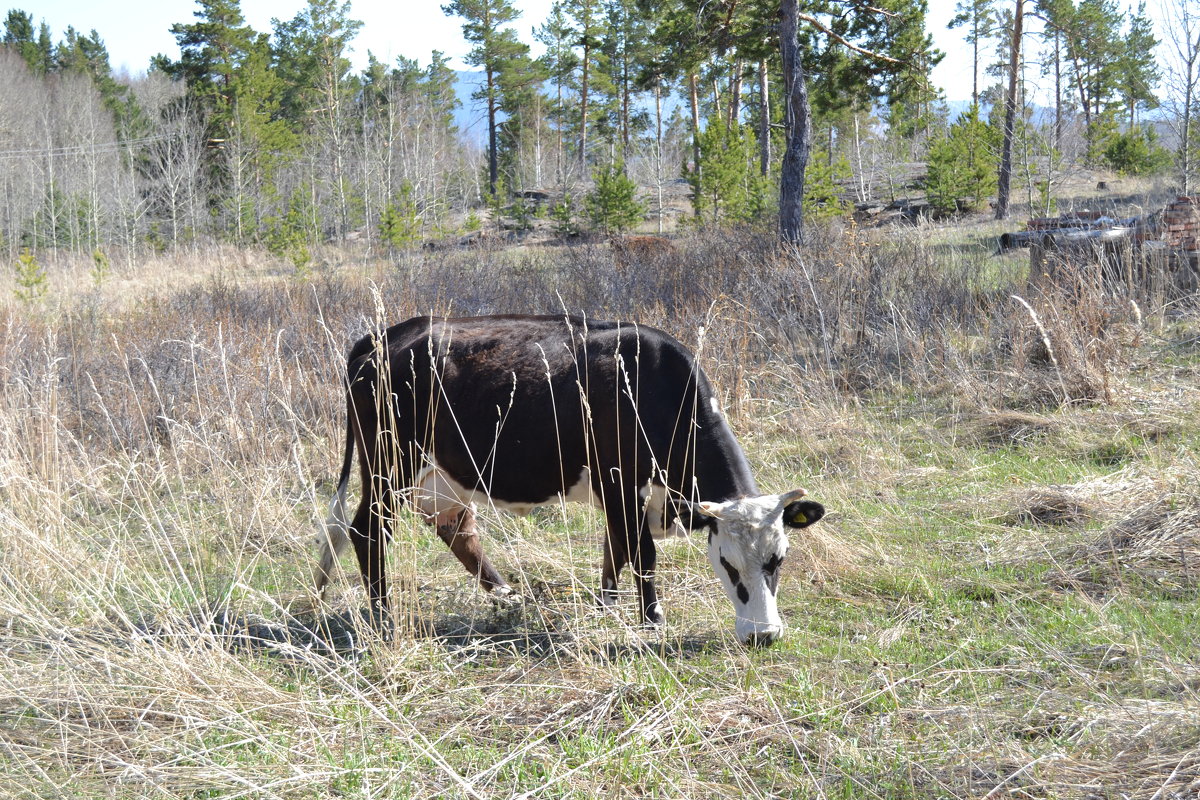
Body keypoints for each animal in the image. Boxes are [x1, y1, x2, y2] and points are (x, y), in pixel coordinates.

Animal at [312, 316, 825, 647]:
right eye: (727, 563)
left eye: (778, 559)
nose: (763, 636)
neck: (652, 383)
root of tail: (383, 336)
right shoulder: (619, 483)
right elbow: (641, 554)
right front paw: (652, 621)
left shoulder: (622, 496)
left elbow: (615, 550)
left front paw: (606, 606)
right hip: (388, 464)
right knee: (367, 531)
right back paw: (383, 617)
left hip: (442, 475)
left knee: (456, 530)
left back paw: (507, 597)